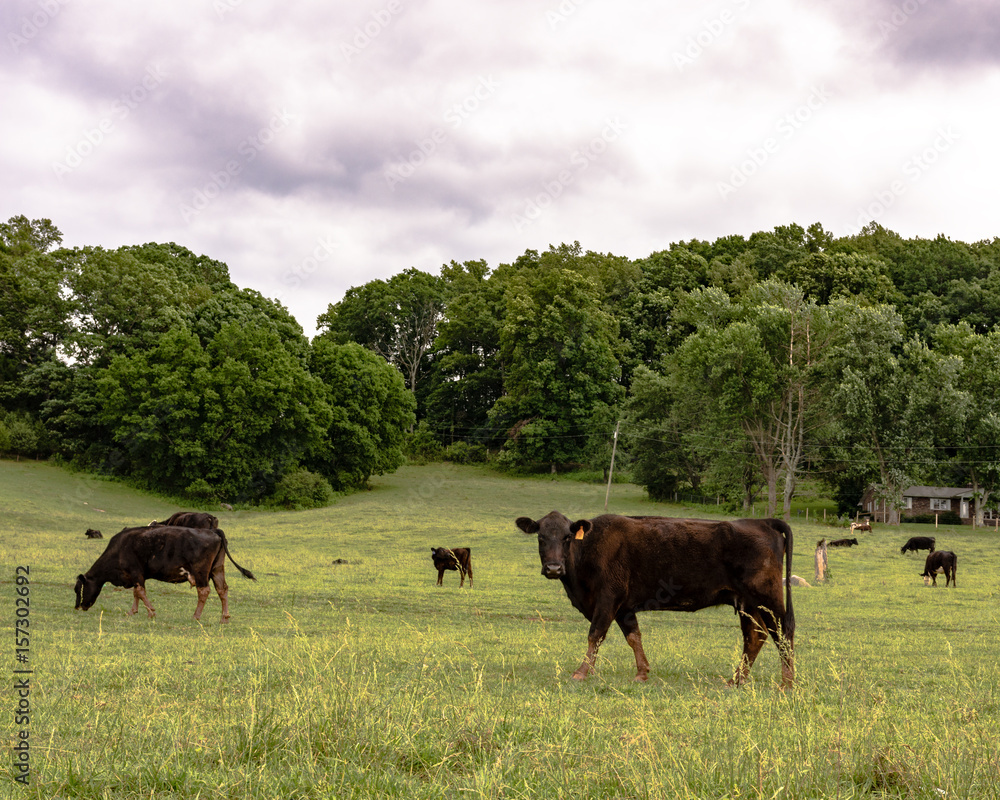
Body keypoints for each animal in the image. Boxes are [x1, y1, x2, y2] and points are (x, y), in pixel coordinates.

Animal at [73, 524, 254, 624]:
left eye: (78, 589)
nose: (79, 606)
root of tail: (214, 531)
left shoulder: (135, 571)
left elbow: (140, 591)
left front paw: (151, 612)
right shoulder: (137, 575)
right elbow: (137, 592)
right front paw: (133, 611)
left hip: (201, 571)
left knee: (204, 591)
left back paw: (196, 616)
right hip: (217, 568)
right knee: (222, 590)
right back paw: (224, 618)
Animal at [516, 512, 796, 688]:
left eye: (567, 537)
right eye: (541, 537)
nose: (553, 568)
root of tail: (762, 521)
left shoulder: (607, 599)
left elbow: (595, 635)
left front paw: (581, 673)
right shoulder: (624, 607)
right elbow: (634, 637)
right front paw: (642, 673)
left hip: (768, 598)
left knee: (782, 632)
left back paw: (787, 683)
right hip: (747, 603)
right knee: (755, 637)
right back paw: (736, 681)